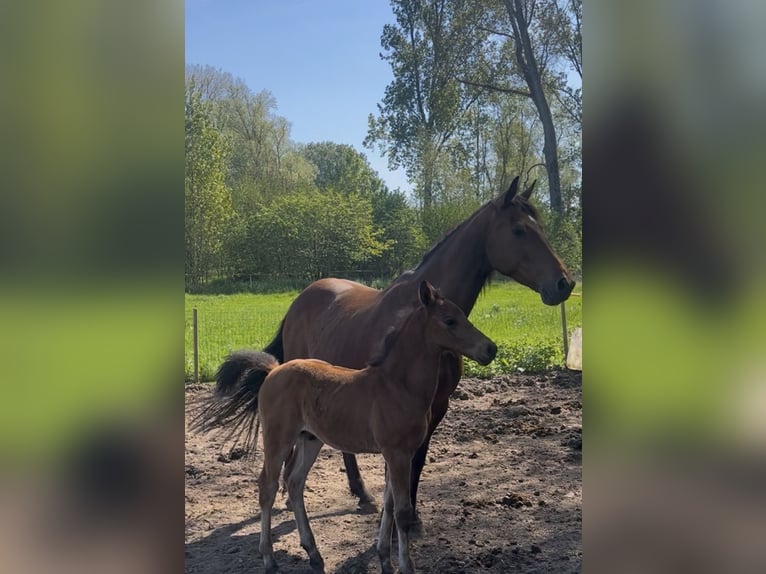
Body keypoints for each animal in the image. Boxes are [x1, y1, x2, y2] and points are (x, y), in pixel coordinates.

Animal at [192, 281, 497, 574]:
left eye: (462, 315)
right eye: (449, 321)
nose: (490, 349)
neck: (397, 385)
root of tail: (274, 370)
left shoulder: (400, 453)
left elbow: (388, 505)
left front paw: (384, 558)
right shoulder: (397, 453)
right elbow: (401, 511)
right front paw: (406, 566)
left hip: (310, 438)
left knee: (294, 482)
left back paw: (314, 555)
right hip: (278, 437)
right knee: (267, 486)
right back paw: (269, 560)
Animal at [257, 175, 574, 531]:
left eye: (539, 227)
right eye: (519, 229)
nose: (564, 284)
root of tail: (300, 300)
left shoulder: (435, 407)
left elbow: (418, 460)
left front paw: (412, 516)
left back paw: (358, 493)